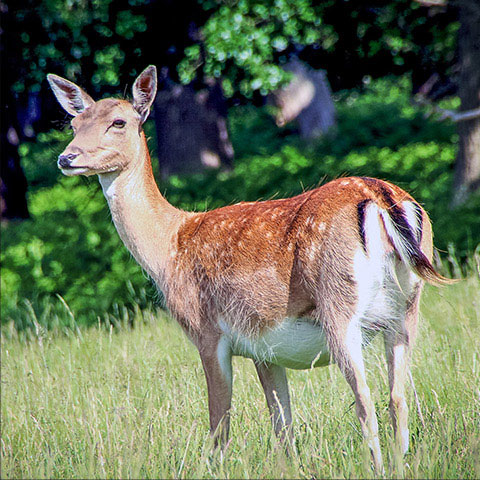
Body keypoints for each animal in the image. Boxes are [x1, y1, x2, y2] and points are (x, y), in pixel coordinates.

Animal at [47, 64, 450, 472]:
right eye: (74, 122)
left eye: (119, 121)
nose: (67, 157)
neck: (170, 248)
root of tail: (381, 198)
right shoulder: (264, 349)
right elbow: (283, 427)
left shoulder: (208, 332)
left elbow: (219, 425)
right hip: (406, 308)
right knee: (397, 398)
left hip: (340, 306)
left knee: (366, 402)